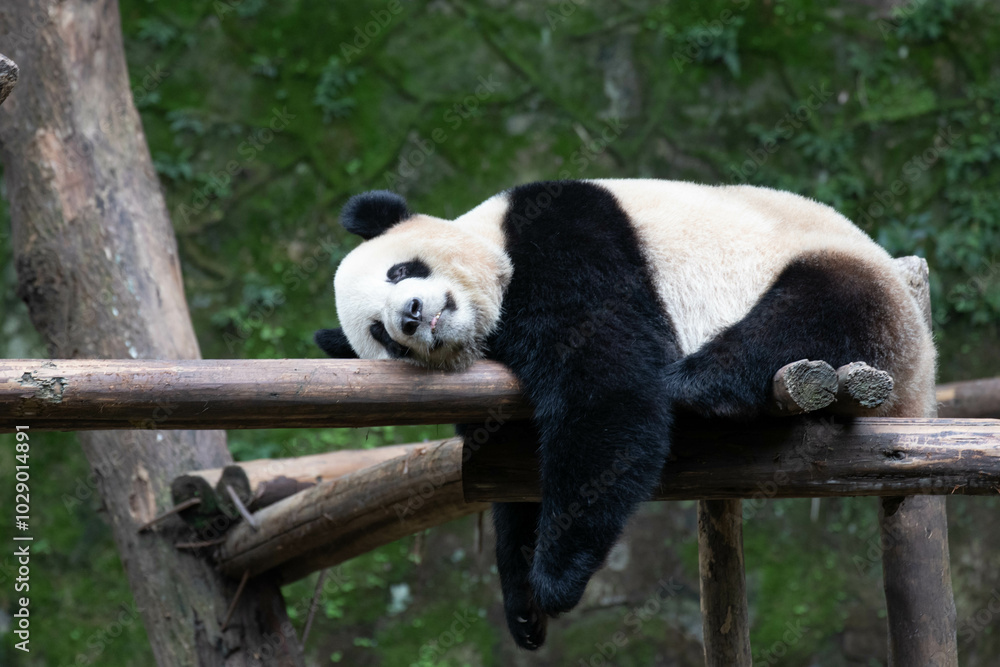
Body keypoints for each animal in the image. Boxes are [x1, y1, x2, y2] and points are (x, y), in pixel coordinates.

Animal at [315, 179, 935, 650]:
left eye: (400, 272)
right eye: (380, 335)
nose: (411, 316)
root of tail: (919, 386)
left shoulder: (562, 236)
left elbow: (608, 381)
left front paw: (556, 578)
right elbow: (517, 472)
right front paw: (524, 605)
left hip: (842, 283)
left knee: (813, 311)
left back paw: (697, 383)